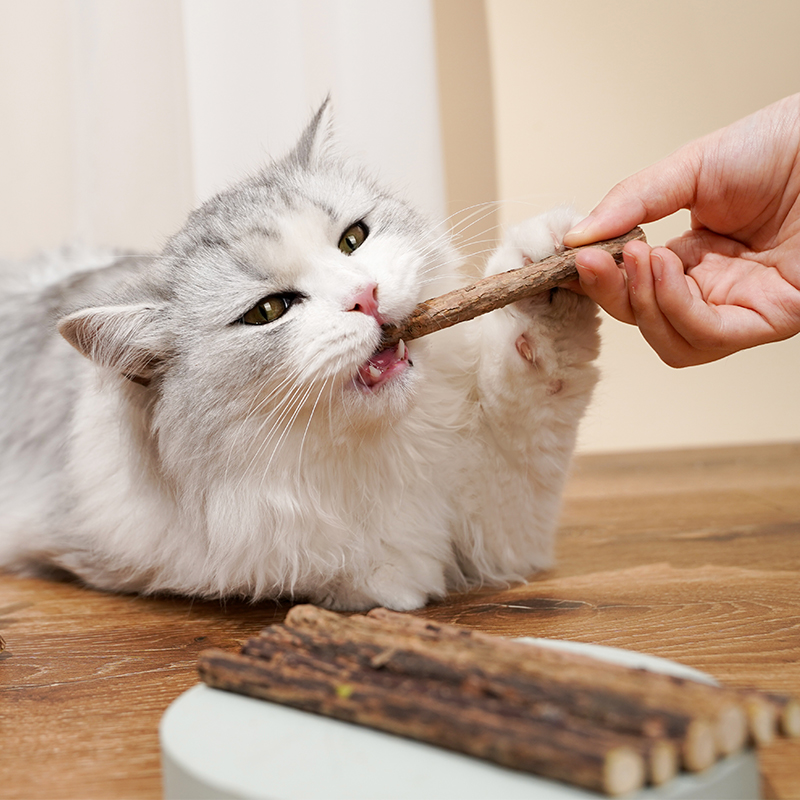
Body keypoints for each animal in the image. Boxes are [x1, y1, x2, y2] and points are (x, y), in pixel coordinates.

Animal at [0, 101, 600, 612]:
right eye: (268, 311)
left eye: (353, 239)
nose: (366, 297)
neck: (369, 456)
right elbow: (373, 571)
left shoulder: (504, 526)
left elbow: (535, 388)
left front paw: (545, 267)